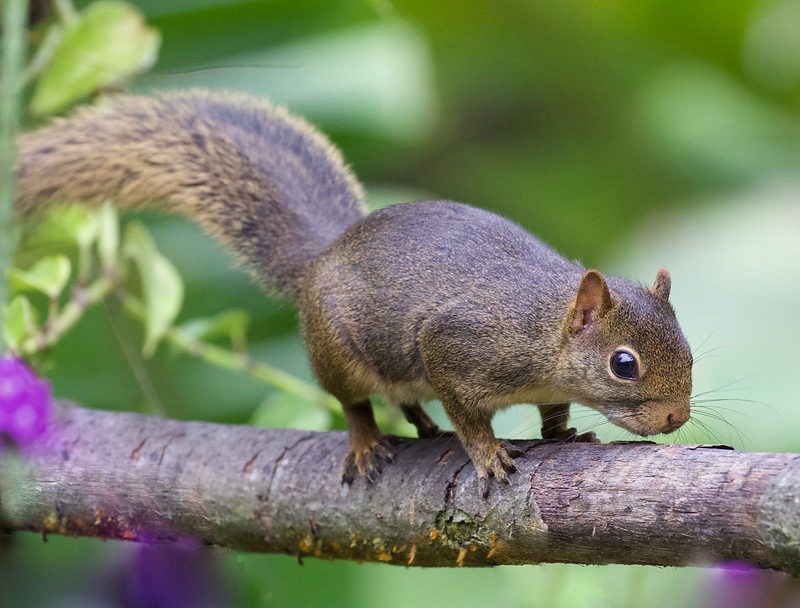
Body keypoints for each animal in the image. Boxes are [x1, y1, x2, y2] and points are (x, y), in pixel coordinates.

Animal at [15, 90, 693, 497]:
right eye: (623, 364)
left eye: (688, 352)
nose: (676, 419)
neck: (544, 325)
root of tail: (321, 259)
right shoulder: (459, 345)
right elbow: (468, 411)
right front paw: (486, 453)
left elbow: (553, 412)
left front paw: (564, 435)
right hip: (339, 352)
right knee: (356, 402)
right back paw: (369, 442)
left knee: (406, 398)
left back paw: (424, 427)